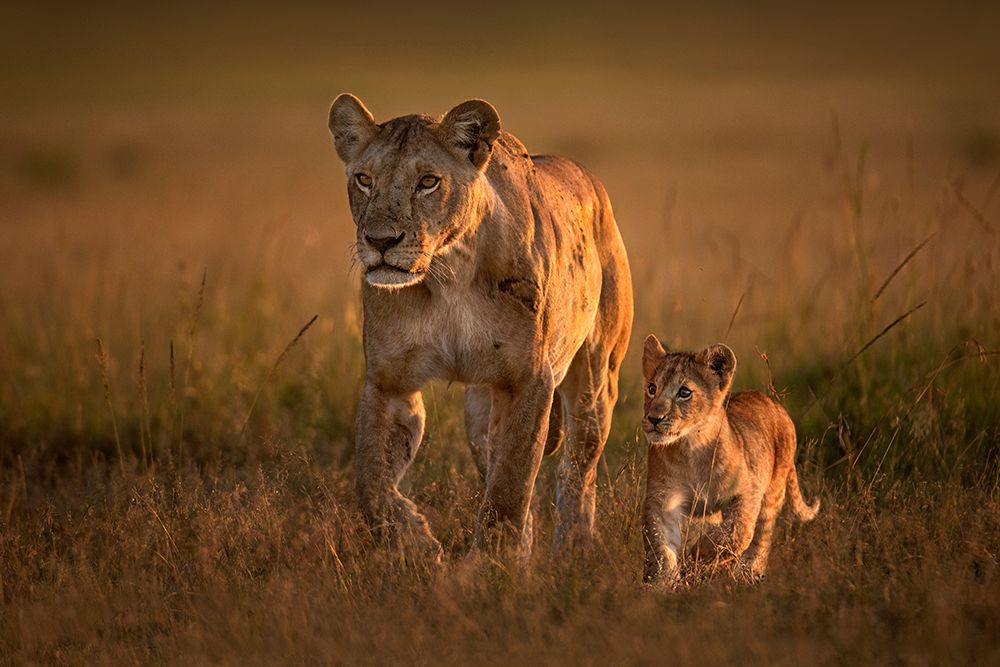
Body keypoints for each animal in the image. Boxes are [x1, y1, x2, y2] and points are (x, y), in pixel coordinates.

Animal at [327, 94, 633, 558]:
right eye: (364, 179)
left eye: (428, 182)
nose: (380, 241)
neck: (447, 274)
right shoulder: (389, 382)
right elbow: (372, 485)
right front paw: (416, 542)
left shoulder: (528, 380)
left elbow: (509, 489)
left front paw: (492, 566)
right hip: (479, 412)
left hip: (596, 382)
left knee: (578, 472)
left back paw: (573, 550)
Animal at [640, 335, 819, 583]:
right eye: (652, 388)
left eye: (684, 392)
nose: (654, 419)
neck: (690, 447)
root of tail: (773, 402)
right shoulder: (663, 500)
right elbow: (661, 547)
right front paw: (661, 583)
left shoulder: (748, 491)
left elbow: (738, 531)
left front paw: (699, 552)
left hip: (773, 491)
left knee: (761, 537)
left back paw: (748, 573)